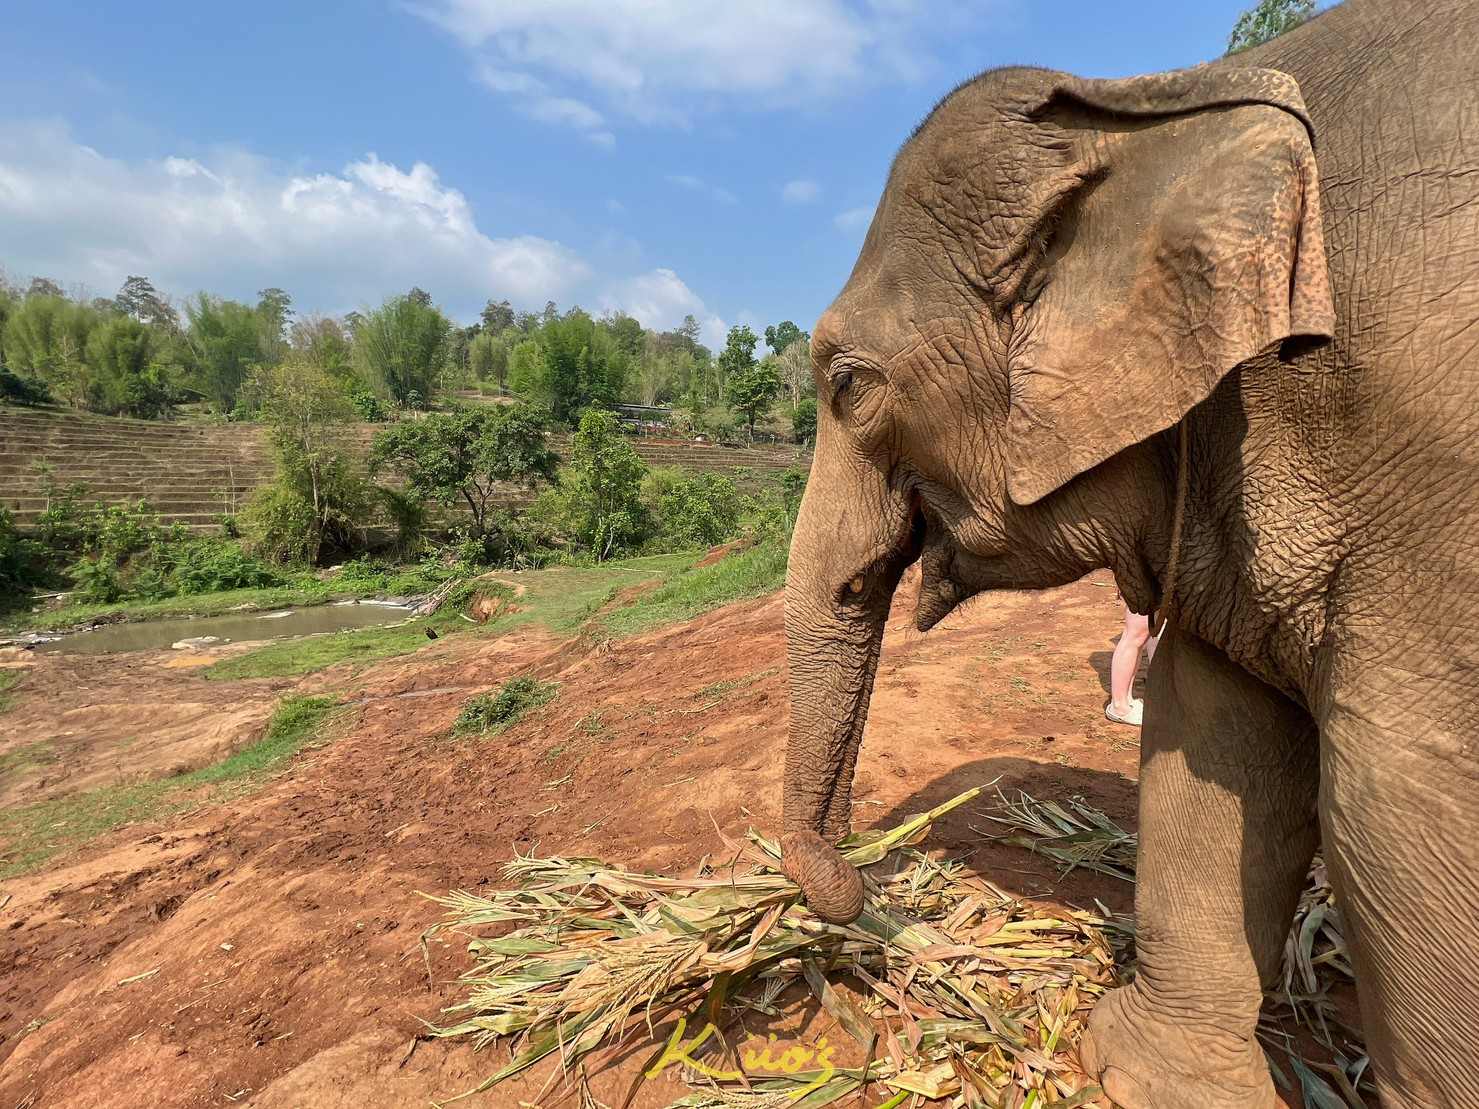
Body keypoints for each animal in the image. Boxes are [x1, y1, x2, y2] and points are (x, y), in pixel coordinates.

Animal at [774, 0, 1479, 1106]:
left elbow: (1392, 806)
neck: (1156, 105)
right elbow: (1212, 735)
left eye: (848, 384)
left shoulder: (1427, 465)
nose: (857, 882)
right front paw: (1140, 1074)